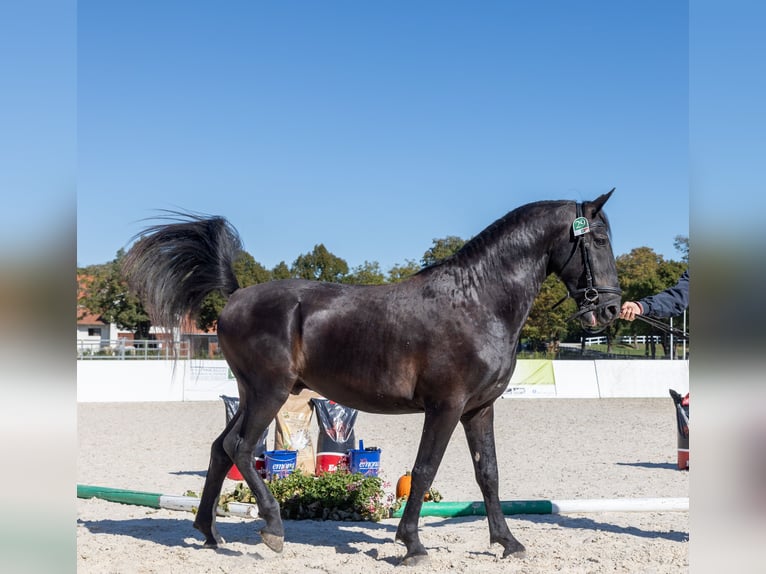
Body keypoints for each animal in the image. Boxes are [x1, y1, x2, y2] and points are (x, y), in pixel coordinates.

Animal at [123, 190, 621, 565]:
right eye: (598, 238)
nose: (611, 309)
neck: (477, 299)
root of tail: (236, 295)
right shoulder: (445, 407)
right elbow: (423, 471)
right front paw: (412, 545)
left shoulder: (479, 409)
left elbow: (489, 474)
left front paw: (507, 542)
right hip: (269, 393)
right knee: (242, 448)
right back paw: (273, 528)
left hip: (250, 394)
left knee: (220, 448)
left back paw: (209, 533)